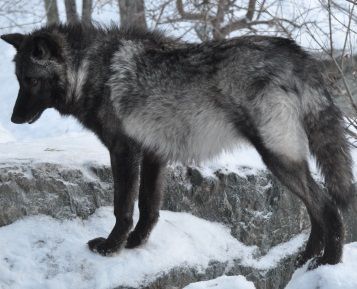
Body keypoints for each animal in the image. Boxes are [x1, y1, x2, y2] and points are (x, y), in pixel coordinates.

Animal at [2, 22, 354, 268]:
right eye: (19, 79)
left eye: (31, 80)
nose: (14, 118)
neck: (91, 70)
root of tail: (296, 53)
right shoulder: (153, 154)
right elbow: (149, 207)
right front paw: (135, 243)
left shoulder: (124, 151)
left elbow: (122, 207)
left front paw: (111, 247)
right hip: (285, 160)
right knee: (315, 208)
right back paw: (305, 259)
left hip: (278, 158)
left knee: (326, 205)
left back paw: (328, 262)